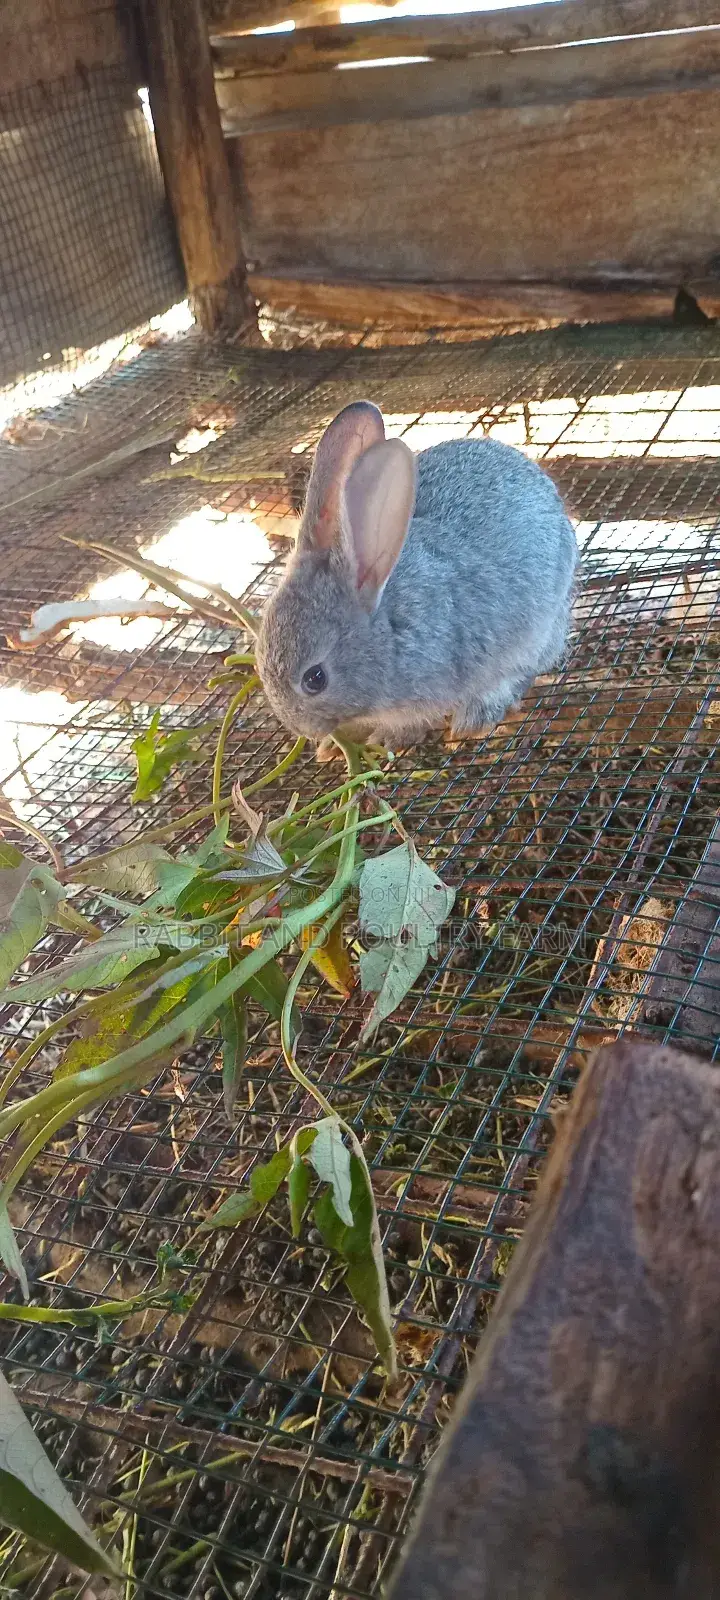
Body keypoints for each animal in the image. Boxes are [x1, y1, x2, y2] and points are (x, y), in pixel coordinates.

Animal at [255, 401, 578, 752]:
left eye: (315, 679)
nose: (300, 728)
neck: (387, 631)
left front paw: (386, 739)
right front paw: (333, 746)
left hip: (537, 634)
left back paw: (474, 718)